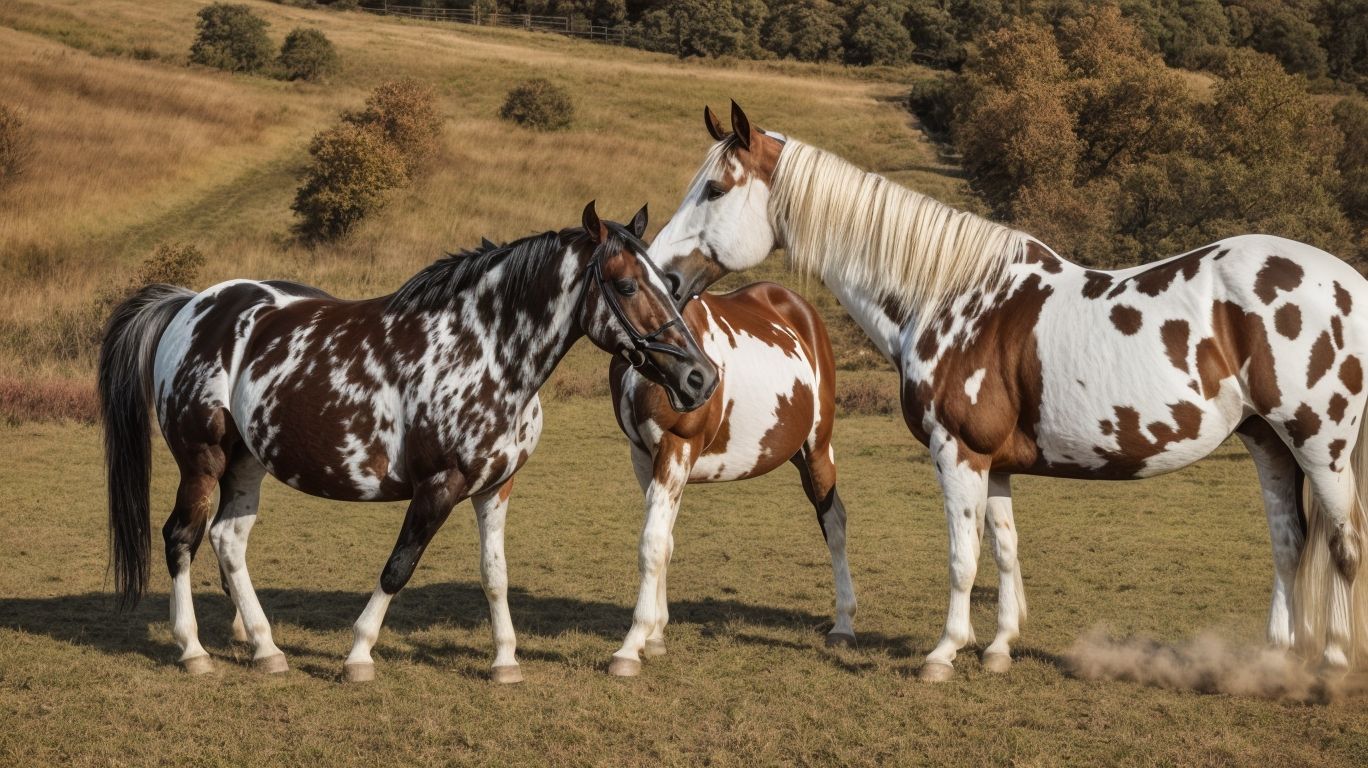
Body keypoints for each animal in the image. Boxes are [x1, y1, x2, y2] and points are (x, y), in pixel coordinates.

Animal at [98, 202, 718, 683]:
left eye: (669, 284)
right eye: (627, 285)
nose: (700, 378)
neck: (485, 351)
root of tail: (192, 305)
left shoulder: (496, 488)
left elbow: (495, 574)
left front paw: (505, 661)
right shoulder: (438, 486)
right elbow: (398, 567)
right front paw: (358, 655)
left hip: (246, 463)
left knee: (228, 541)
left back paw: (267, 649)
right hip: (202, 461)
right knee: (181, 538)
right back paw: (193, 650)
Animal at [605, 281, 856, 676]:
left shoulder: (676, 445)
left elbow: (652, 542)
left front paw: (631, 645)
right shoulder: (645, 456)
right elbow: (664, 541)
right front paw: (656, 635)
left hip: (817, 446)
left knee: (834, 523)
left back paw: (843, 626)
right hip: (797, 452)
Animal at [643, 101, 1368, 681]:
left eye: (713, 188)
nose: (662, 278)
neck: (953, 296)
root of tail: (1348, 283)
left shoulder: (957, 451)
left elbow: (963, 558)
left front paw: (943, 654)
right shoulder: (993, 463)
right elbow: (1005, 550)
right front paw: (997, 649)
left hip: (1320, 446)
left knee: (1343, 541)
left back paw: (1331, 663)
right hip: (1269, 443)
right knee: (1290, 542)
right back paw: (1274, 661)